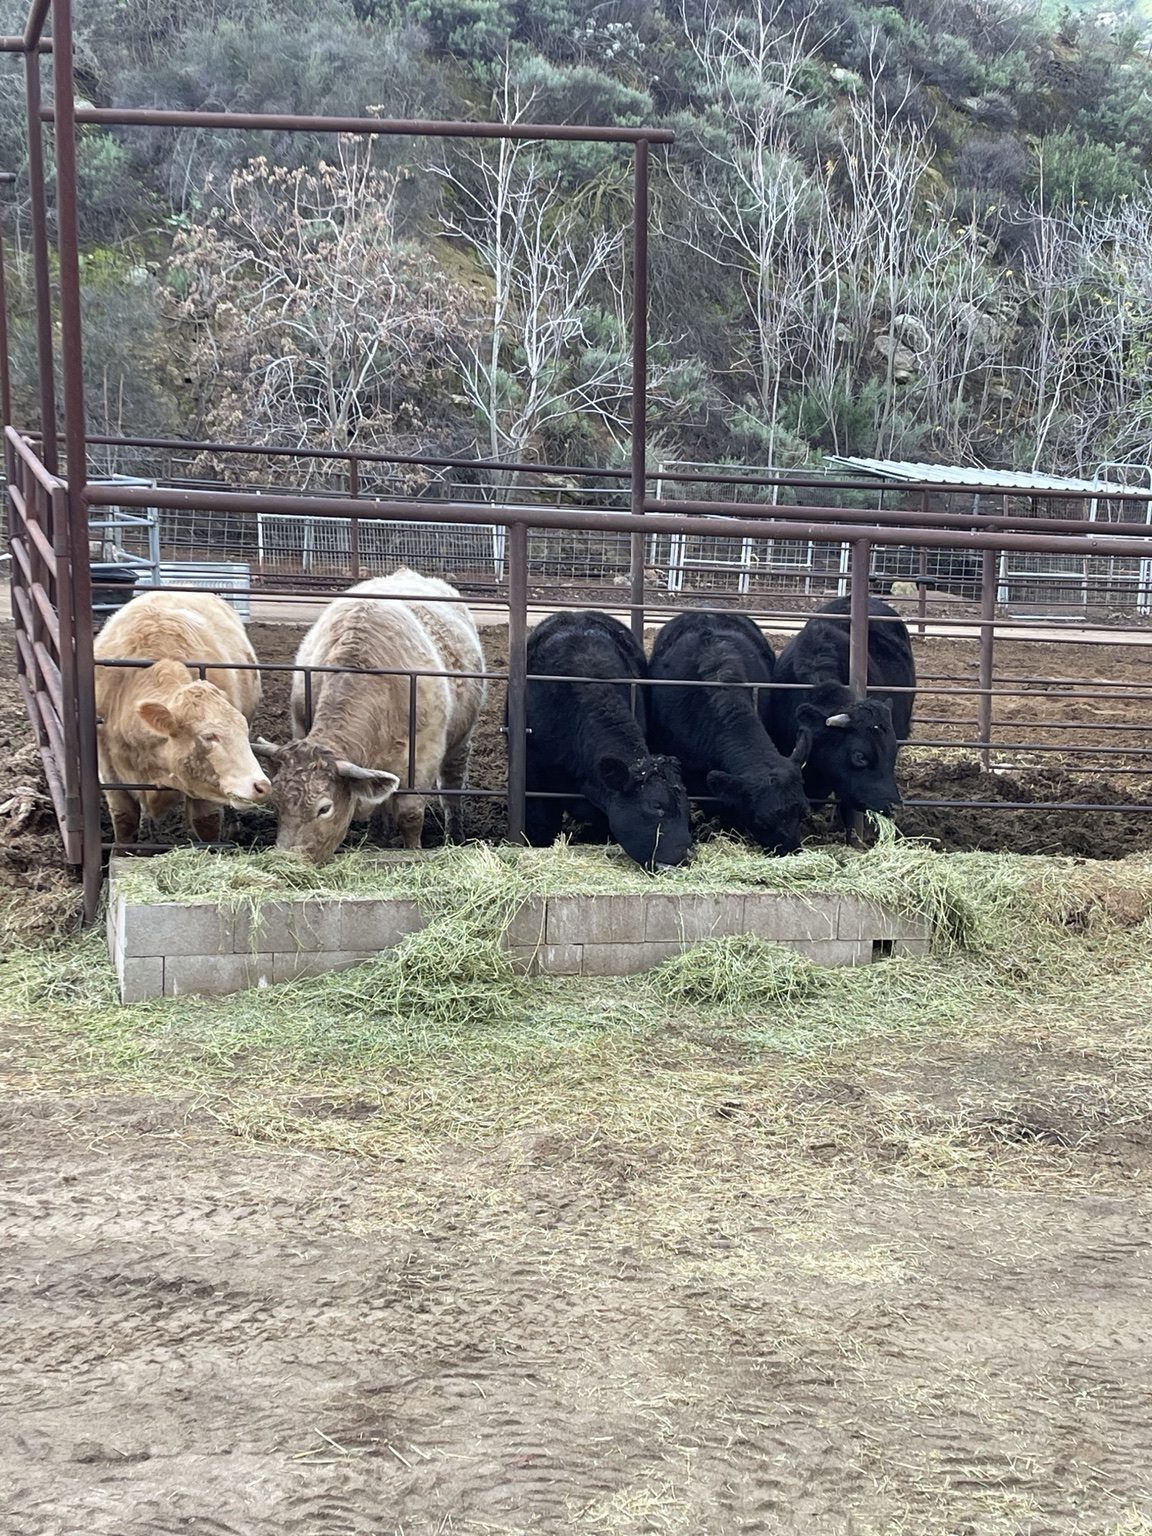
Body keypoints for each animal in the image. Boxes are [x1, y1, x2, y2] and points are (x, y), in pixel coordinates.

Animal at [93, 590, 270, 845]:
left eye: (243, 731)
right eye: (209, 736)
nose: (262, 786)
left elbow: (206, 824)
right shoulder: (110, 776)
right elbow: (125, 823)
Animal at [254, 569, 485, 863]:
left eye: (324, 808)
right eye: (277, 803)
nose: (287, 860)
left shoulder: (424, 756)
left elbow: (410, 815)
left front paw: (414, 851)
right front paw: (377, 842)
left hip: (460, 742)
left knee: (452, 787)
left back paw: (454, 835)